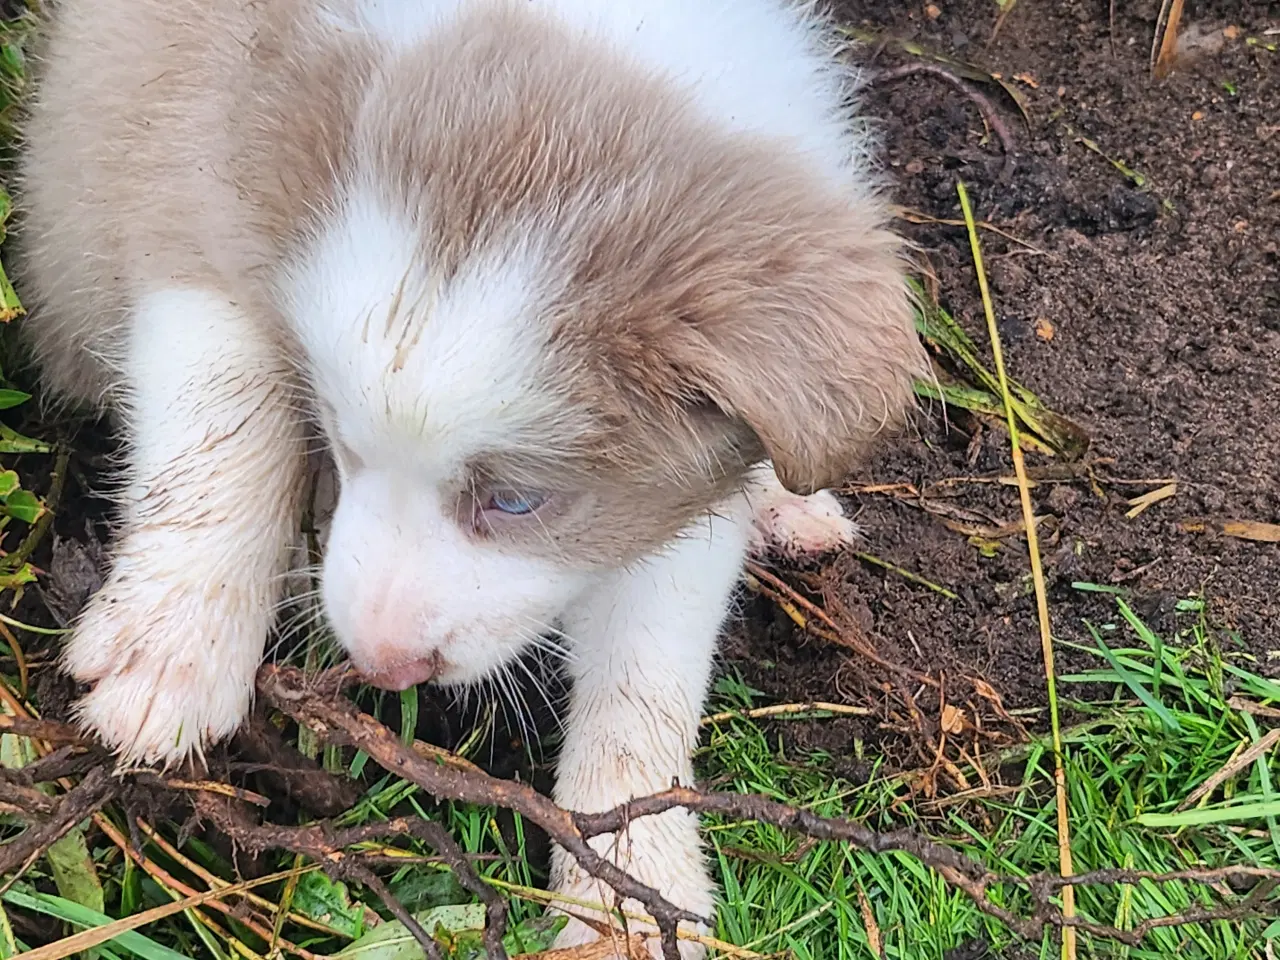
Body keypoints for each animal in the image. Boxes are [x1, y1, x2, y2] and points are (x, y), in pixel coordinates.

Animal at [15, 0, 926, 957]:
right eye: (339, 437)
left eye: (515, 499)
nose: (383, 667)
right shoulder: (202, 201)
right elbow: (221, 427)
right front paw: (168, 657)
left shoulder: (677, 497)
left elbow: (646, 677)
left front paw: (630, 888)